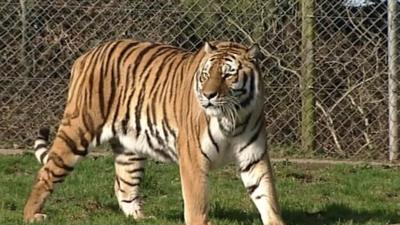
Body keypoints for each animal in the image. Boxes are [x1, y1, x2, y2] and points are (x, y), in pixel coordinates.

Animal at [23, 39, 284, 224]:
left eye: (228, 74)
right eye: (206, 74)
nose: (208, 95)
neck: (233, 117)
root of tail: (87, 54)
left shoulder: (253, 156)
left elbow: (267, 196)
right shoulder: (193, 158)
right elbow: (197, 202)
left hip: (130, 147)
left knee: (123, 185)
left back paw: (141, 218)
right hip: (78, 130)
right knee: (46, 173)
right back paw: (32, 214)